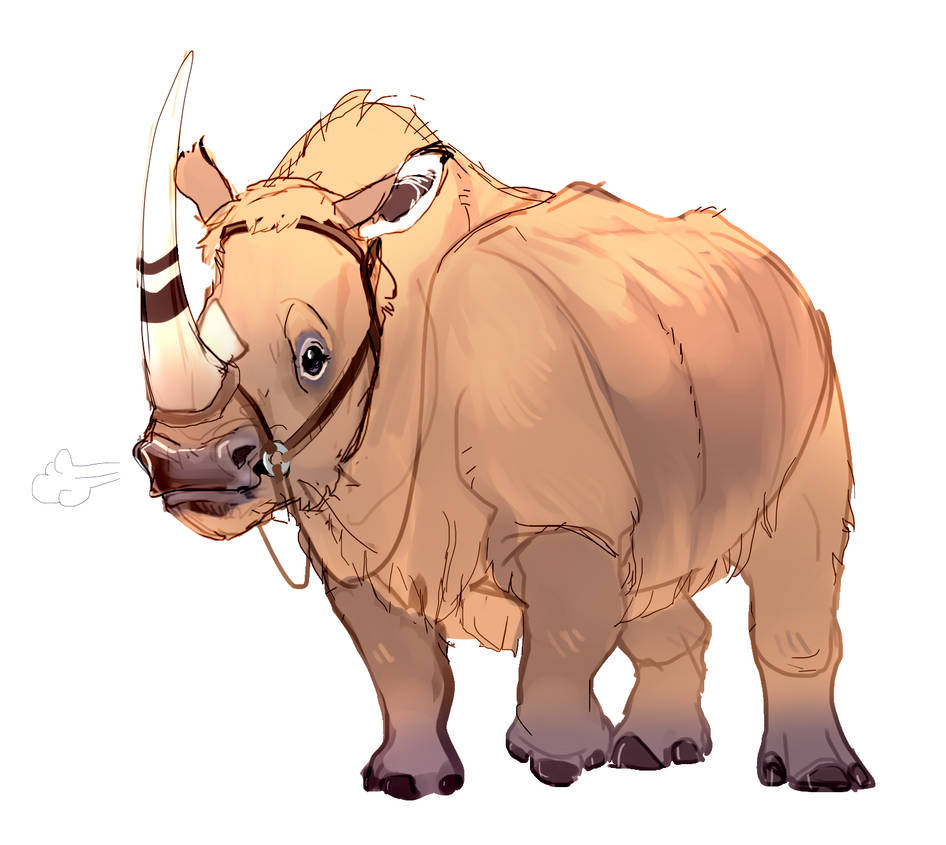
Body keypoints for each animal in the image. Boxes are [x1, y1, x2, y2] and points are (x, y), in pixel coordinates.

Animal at [134, 54, 874, 799]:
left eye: (313, 357)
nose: (188, 460)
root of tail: (773, 265)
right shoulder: (358, 534)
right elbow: (401, 665)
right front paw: (409, 782)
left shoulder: (565, 509)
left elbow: (564, 637)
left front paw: (559, 762)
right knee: (654, 569)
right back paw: (653, 752)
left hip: (807, 356)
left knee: (796, 557)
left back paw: (819, 777)